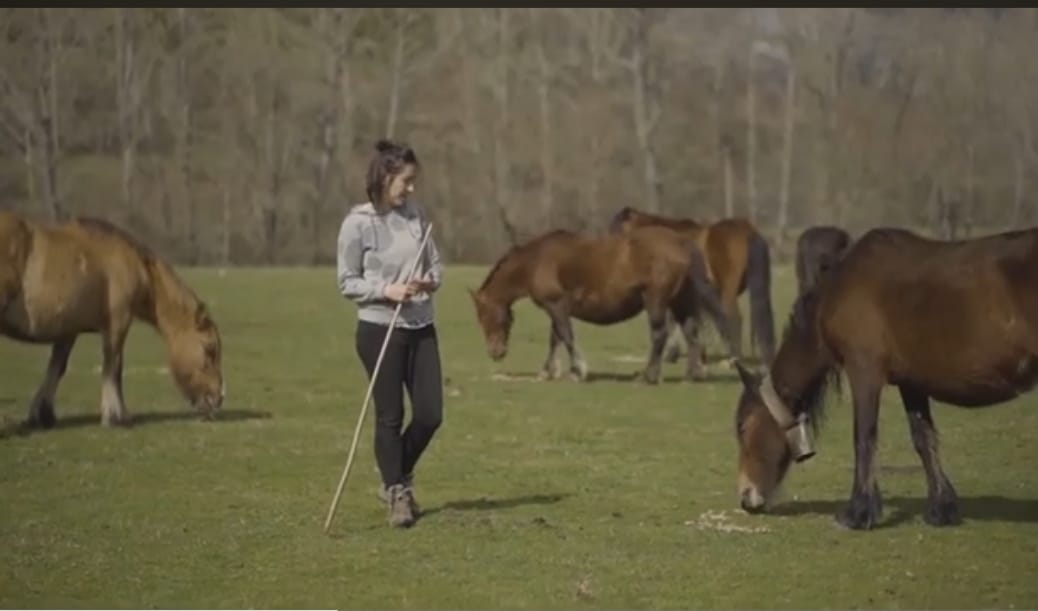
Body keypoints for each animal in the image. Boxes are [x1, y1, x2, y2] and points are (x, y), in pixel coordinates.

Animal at [0, 211, 226, 427]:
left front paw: (42, 414)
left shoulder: (68, 330)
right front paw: (116, 415)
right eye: (209, 350)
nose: (217, 399)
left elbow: (57, 368)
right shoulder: (118, 323)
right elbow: (113, 367)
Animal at [469, 226, 722, 383]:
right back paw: (693, 374)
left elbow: (565, 336)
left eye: (484, 316)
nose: (495, 352)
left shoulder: (556, 306)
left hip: (656, 301)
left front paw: (577, 371)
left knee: (660, 334)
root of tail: (680, 242)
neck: (536, 260)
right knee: (691, 332)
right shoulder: (557, 309)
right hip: (680, 302)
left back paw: (649, 376)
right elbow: (555, 339)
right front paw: (548, 371)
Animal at [606, 207, 776, 365]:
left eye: (617, 229)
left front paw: (672, 353)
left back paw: (734, 359)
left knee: (734, 318)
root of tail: (748, 231)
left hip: (728, 291)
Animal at [734, 224, 1038, 529]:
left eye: (744, 429)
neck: (841, 289)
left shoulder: (864, 372)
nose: (746, 498)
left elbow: (864, 438)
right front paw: (941, 508)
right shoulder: (911, 382)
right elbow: (923, 437)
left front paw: (857, 512)